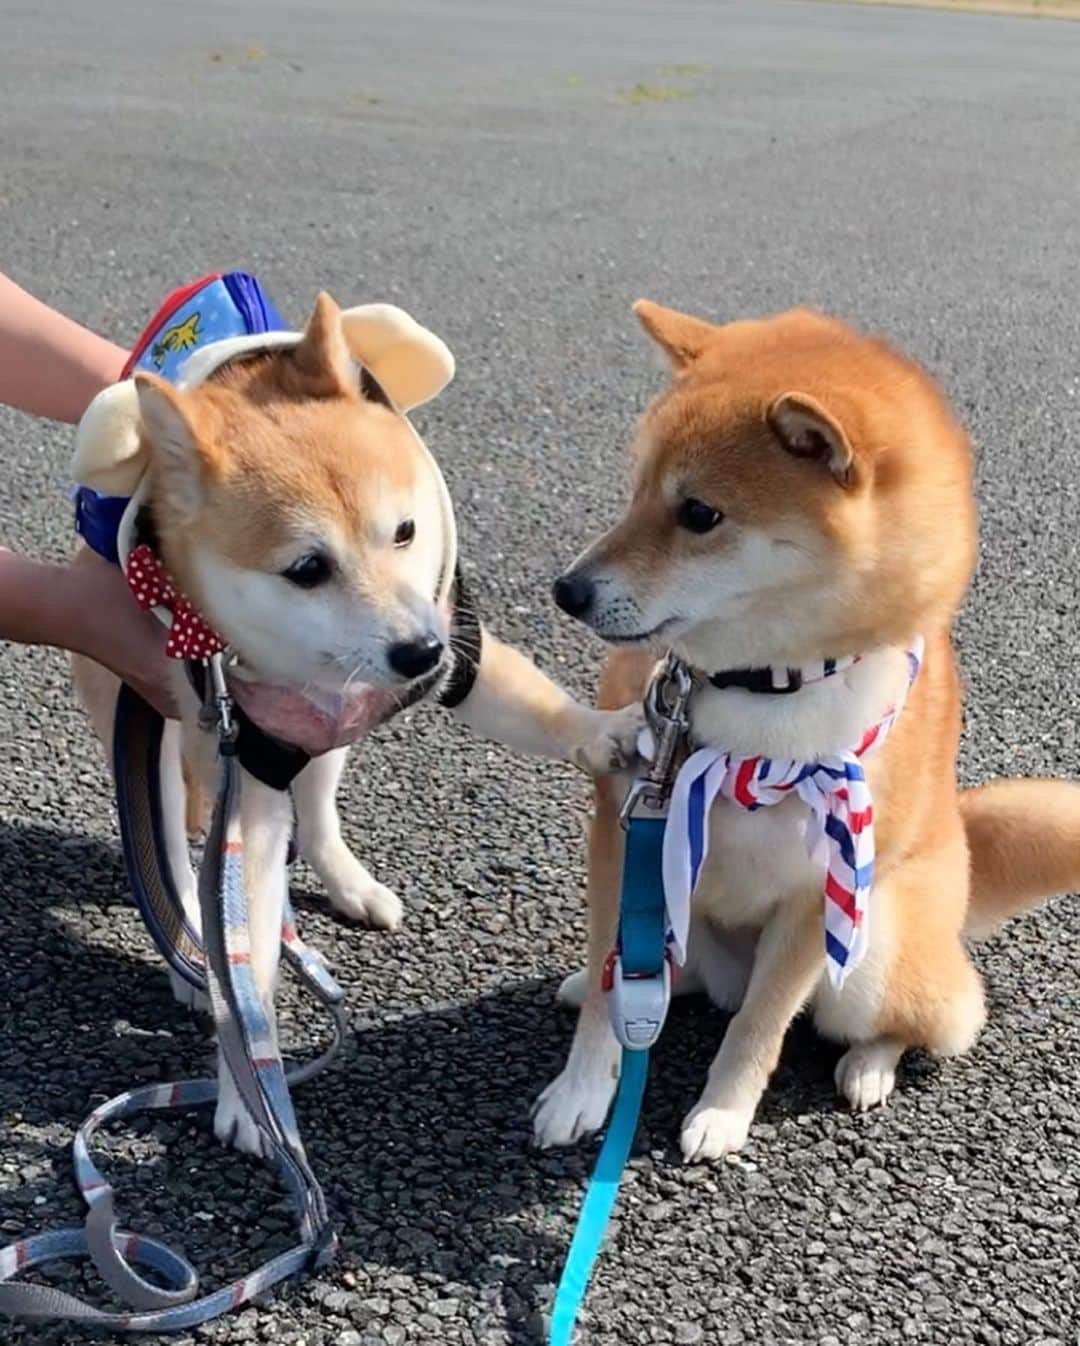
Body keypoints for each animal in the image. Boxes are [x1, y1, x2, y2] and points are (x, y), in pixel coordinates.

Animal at [73, 289, 640, 1152]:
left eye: (404, 531)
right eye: (308, 569)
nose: (419, 651)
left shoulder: (460, 643)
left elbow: (540, 710)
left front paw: (606, 733)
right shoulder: (248, 778)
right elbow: (247, 956)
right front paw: (251, 1089)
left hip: (326, 737)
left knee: (318, 804)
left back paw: (350, 883)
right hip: (148, 730)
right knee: (168, 848)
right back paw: (187, 951)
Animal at [533, 300, 1077, 1162]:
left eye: (699, 514)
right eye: (634, 489)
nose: (567, 590)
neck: (756, 689)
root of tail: (962, 847)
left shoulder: (811, 894)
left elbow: (760, 1027)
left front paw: (723, 1111)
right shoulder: (623, 833)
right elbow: (610, 983)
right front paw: (583, 1089)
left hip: (871, 952)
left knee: (930, 1017)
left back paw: (869, 1066)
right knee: (659, 975)